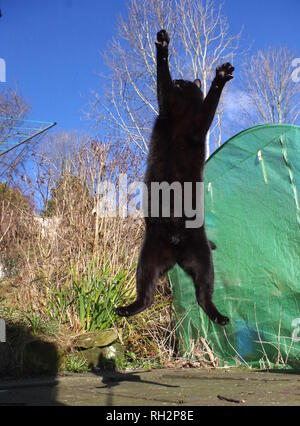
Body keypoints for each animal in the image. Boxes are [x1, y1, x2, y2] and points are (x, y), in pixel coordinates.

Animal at [116, 28, 233, 324]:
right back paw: (126, 309)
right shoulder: (169, 103)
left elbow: (171, 80)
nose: (182, 81)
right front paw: (162, 45)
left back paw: (219, 317)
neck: (184, 107)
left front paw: (220, 77)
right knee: (147, 297)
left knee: (203, 296)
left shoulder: (195, 117)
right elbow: (163, 76)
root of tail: (177, 250)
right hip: (147, 261)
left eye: (184, 82)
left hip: (203, 261)